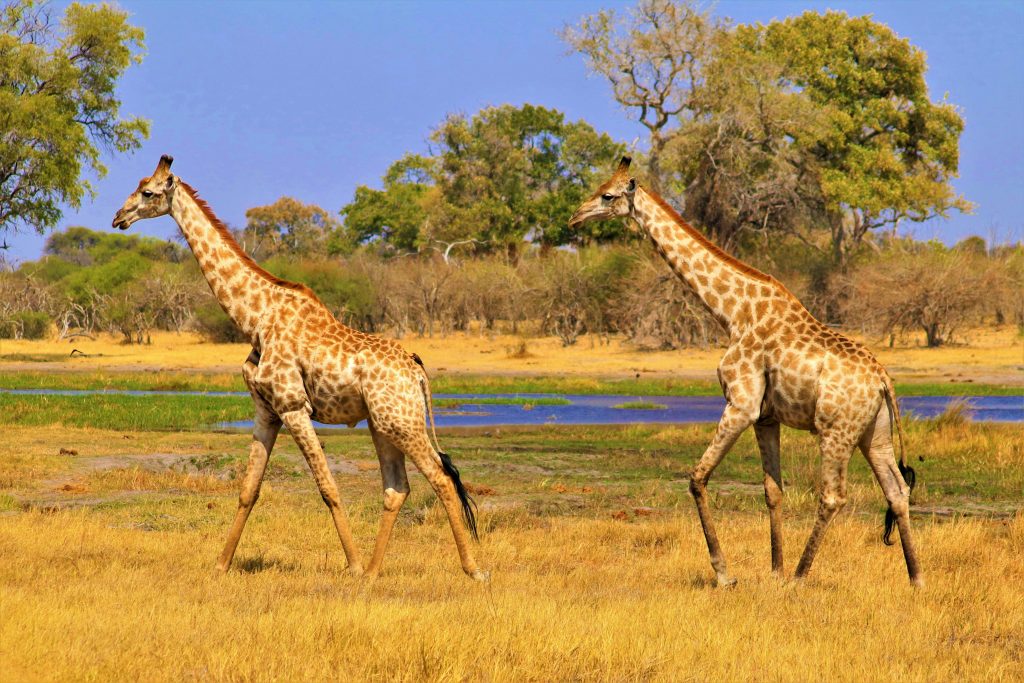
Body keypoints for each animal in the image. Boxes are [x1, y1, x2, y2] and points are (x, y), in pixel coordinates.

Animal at [112, 155, 487, 581]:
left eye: (147, 192)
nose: (119, 217)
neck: (255, 318)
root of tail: (417, 371)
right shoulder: (266, 410)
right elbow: (248, 489)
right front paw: (221, 564)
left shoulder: (294, 407)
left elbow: (328, 488)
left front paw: (352, 565)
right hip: (383, 424)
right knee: (398, 487)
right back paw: (375, 573)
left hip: (403, 423)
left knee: (441, 478)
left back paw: (471, 569)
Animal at [569, 157, 922, 587]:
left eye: (607, 195)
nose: (574, 217)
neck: (732, 313)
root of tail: (884, 382)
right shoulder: (766, 417)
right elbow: (773, 490)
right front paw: (773, 569)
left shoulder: (741, 404)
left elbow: (697, 477)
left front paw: (726, 574)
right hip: (875, 433)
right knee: (897, 490)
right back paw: (916, 579)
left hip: (836, 431)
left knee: (833, 495)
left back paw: (800, 578)